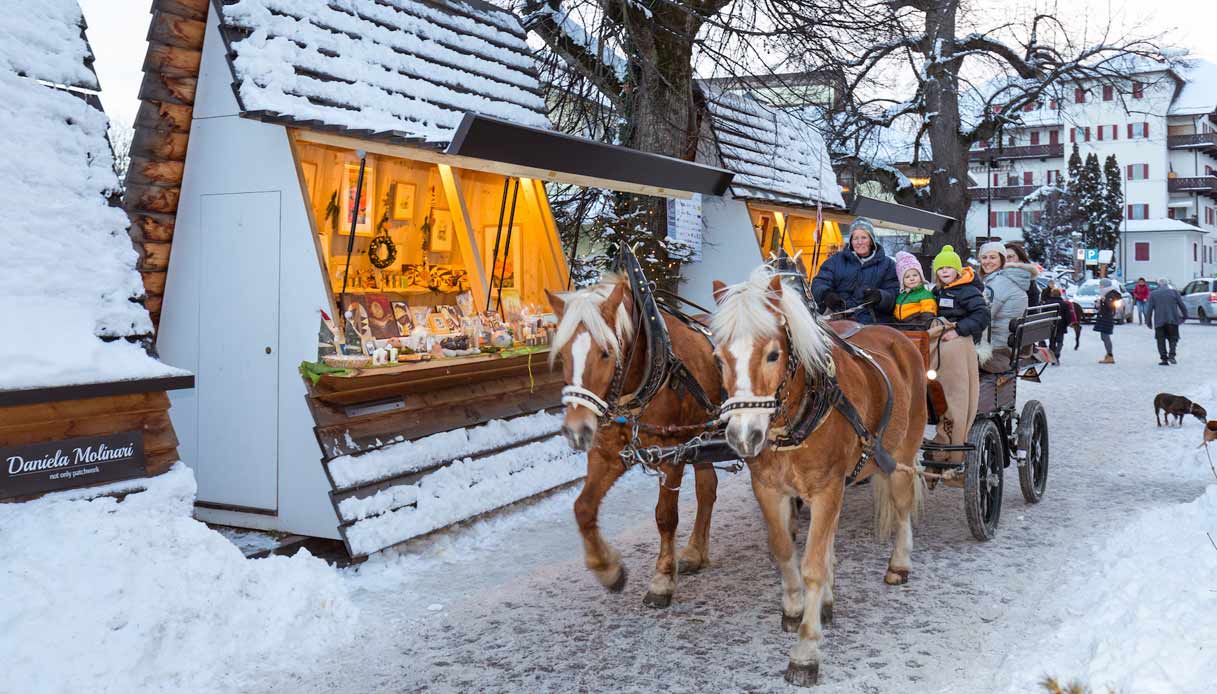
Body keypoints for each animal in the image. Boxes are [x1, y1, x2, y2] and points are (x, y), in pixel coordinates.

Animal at [545, 275, 720, 603]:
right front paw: (607, 568)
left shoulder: (672, 454)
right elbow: (583, 507)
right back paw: (694, 552)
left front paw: (662, 579)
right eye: (562, 354)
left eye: (605, 352)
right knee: (707, 489)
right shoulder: (607, 453)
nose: (577, 429)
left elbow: (665, 516)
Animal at [710, 267, 924, 681]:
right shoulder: (769, 488)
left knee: (903, 505)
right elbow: (783, 550)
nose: (743, 436)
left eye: (773, 354)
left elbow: (811, 565)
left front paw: (806, 649)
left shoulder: (826, 490)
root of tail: (896, 336)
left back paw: (899, 564)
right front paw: (796, 607)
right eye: (718, 358)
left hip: (902, 453)